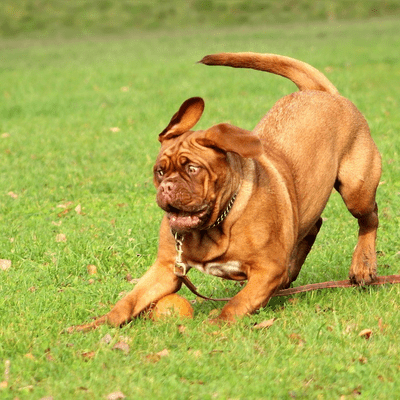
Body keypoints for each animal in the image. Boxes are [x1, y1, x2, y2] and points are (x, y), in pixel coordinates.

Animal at [72, 51, 382, 330]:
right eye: (160, 171)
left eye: (193, 169)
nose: (168, 187)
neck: (214, 226)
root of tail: (319, 92)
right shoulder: (166, 269)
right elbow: (129, 301)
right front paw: (97, 325)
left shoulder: (266, 270)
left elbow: (238, 302)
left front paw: (218, 324)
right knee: (312, 225)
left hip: (356, 189)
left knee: (369, 218)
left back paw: (363, 265)